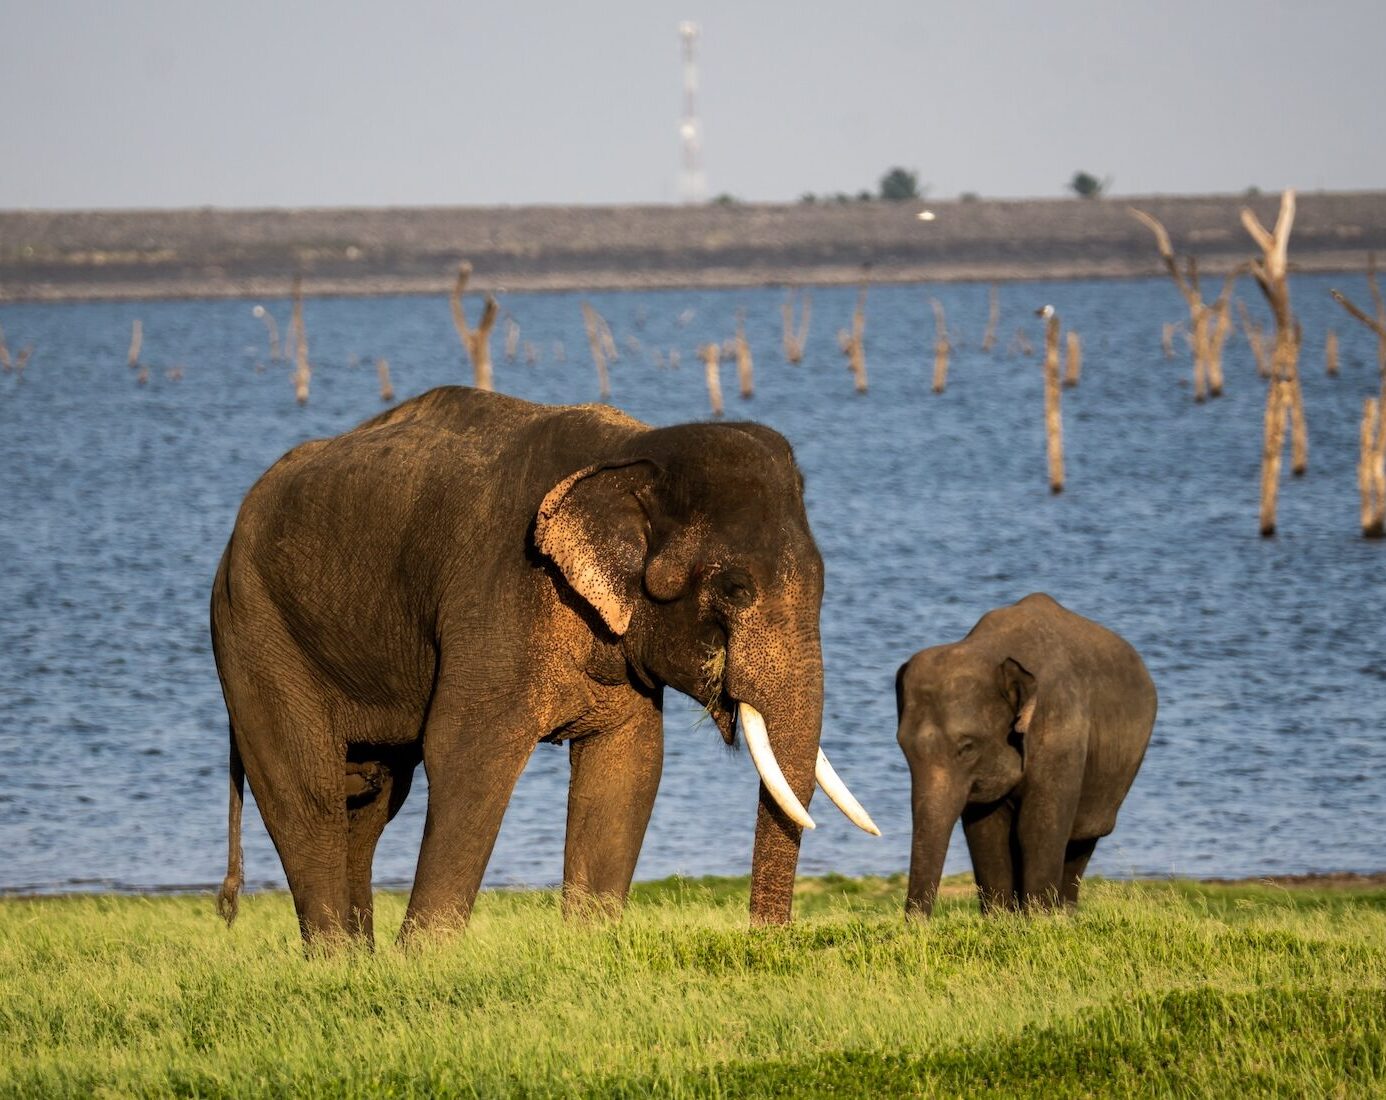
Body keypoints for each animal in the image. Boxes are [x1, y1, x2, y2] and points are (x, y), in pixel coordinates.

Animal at [211, 386, 878, 946]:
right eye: (737, 589)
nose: (767, 938)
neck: (631, 452)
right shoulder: (496, 599)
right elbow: (467, 753)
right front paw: (425, 960)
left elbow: (628, 762)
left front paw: (590, 948)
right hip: (255, 634)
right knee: (309, 794)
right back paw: (337, 961)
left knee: (370, 798)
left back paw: (359, 961)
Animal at [895, 593, 1156, 917]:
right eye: (903, 747)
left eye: (967, 747)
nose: (918, 924)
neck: (990, 649)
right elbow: (985, 831)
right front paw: (1000, 920)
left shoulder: (1061, 731)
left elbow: (1037, 828)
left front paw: (1039, 920)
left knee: (1082, 839)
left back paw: (1062, 914)